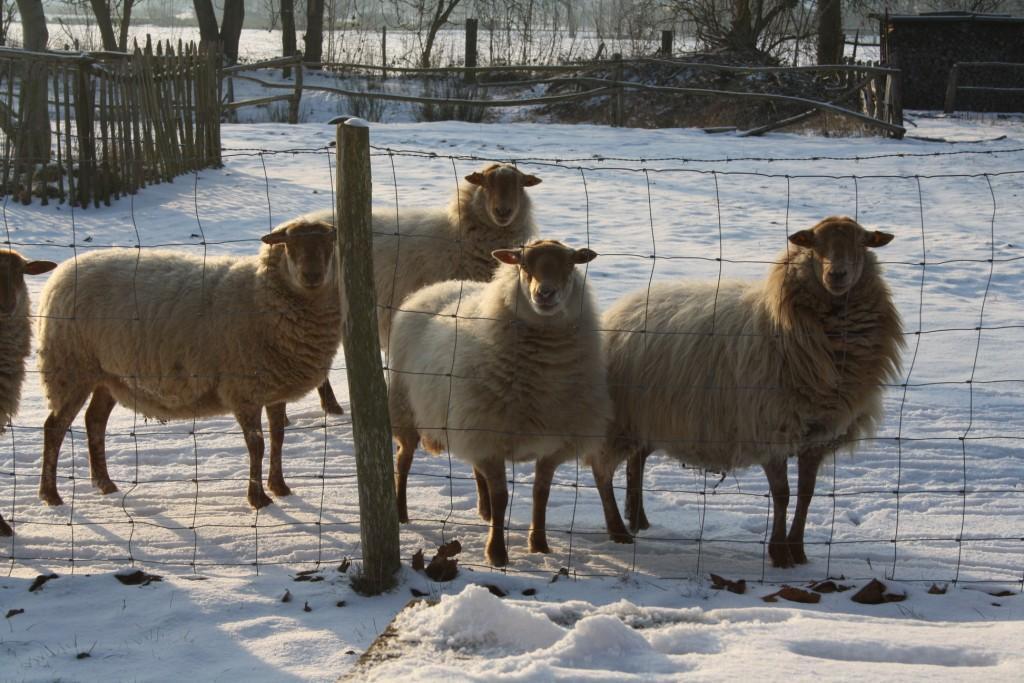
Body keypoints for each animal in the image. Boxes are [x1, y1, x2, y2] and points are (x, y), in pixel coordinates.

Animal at [36, 219, 342, 511]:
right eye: (290, 244)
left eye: (329, 244)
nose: (312, 276)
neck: (260, 294)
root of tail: (61, 274)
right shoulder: (243, 390)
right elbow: (257, 444)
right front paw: (258, 499)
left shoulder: (272, 388)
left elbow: (278, 437)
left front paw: (280, 487)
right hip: (71, 367)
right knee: (54, 427)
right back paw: (51, 495)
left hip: (108, 375)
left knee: (95, 421)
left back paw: (105, 484)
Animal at [385, 239, 606, 565]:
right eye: (523, 264)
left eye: (570, 265)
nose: (545, 294)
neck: (543, 373)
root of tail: (436, 287)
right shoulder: (489, 436)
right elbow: (502, 497)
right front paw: (497, 552)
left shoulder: (549, 443)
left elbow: (541, 494)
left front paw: (539, 545)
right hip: (407, 410)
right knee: (403, 460)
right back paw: (401, 513)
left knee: (476, 470)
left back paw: (484, 510)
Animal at [593, 218, 905, 565]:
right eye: (813, 244)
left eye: (862, 243)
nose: (837, 275)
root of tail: (620, 309)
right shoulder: (771, 430)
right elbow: (782, 495)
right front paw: (779, 554)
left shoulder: (816, 438)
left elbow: (806, 495)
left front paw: (798, 550)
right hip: (620, 419)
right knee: (601, 471)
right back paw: (619, 531)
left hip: (651, 417)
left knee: (636, 461)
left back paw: (639, 519)